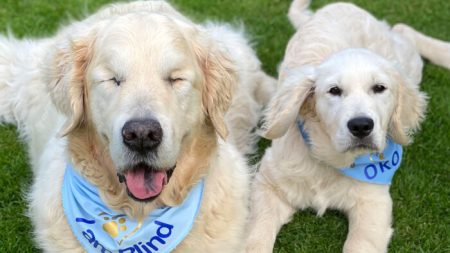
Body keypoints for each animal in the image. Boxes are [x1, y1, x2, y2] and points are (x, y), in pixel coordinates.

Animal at [246, 0, 450, 253]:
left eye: (379, 88)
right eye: (334, 90)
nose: (361, 126)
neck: (331, 161)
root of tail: (339, 5)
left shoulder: (373, 202)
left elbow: (360, 244)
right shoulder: (268, 184)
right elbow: (255, 236)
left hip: (409, 64)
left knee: (402, 31)